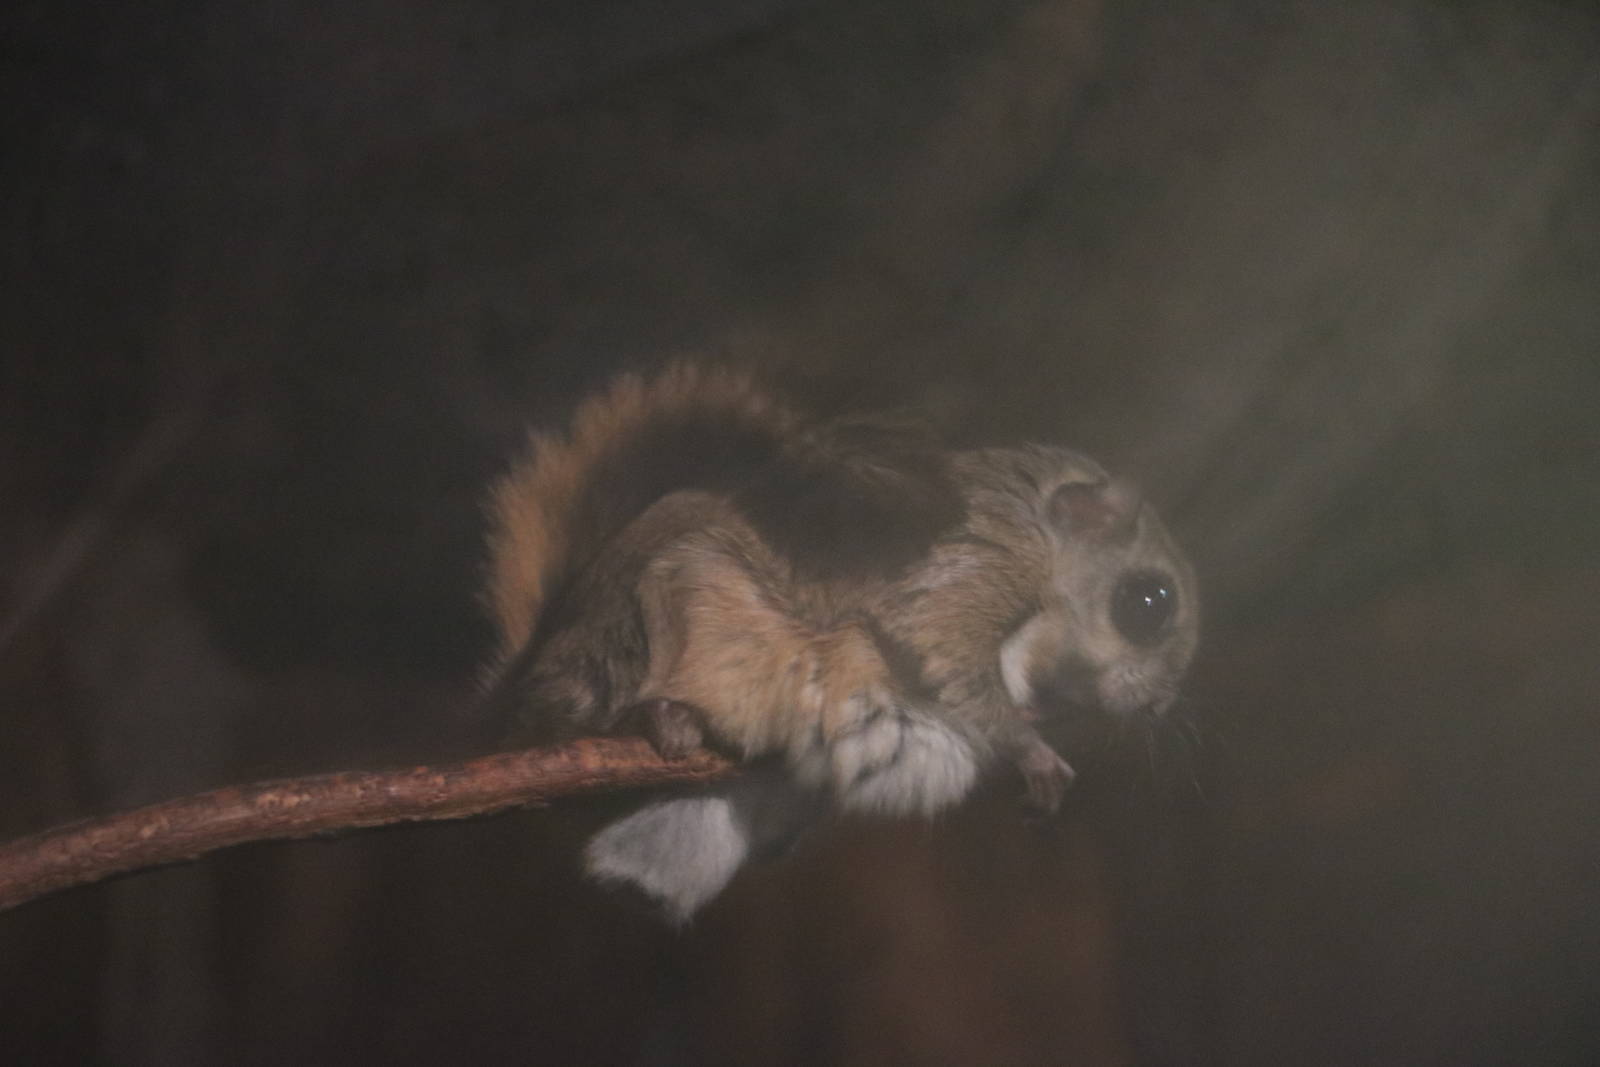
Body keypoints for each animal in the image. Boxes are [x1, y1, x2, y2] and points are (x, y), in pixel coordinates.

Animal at [482, 362, 1199, 921]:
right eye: (1148, 603)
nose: (1161, 706)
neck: (1045, 542)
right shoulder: (977, 569)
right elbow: (950, 659)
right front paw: (1035, 755)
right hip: (654, 612)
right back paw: (655, 718)